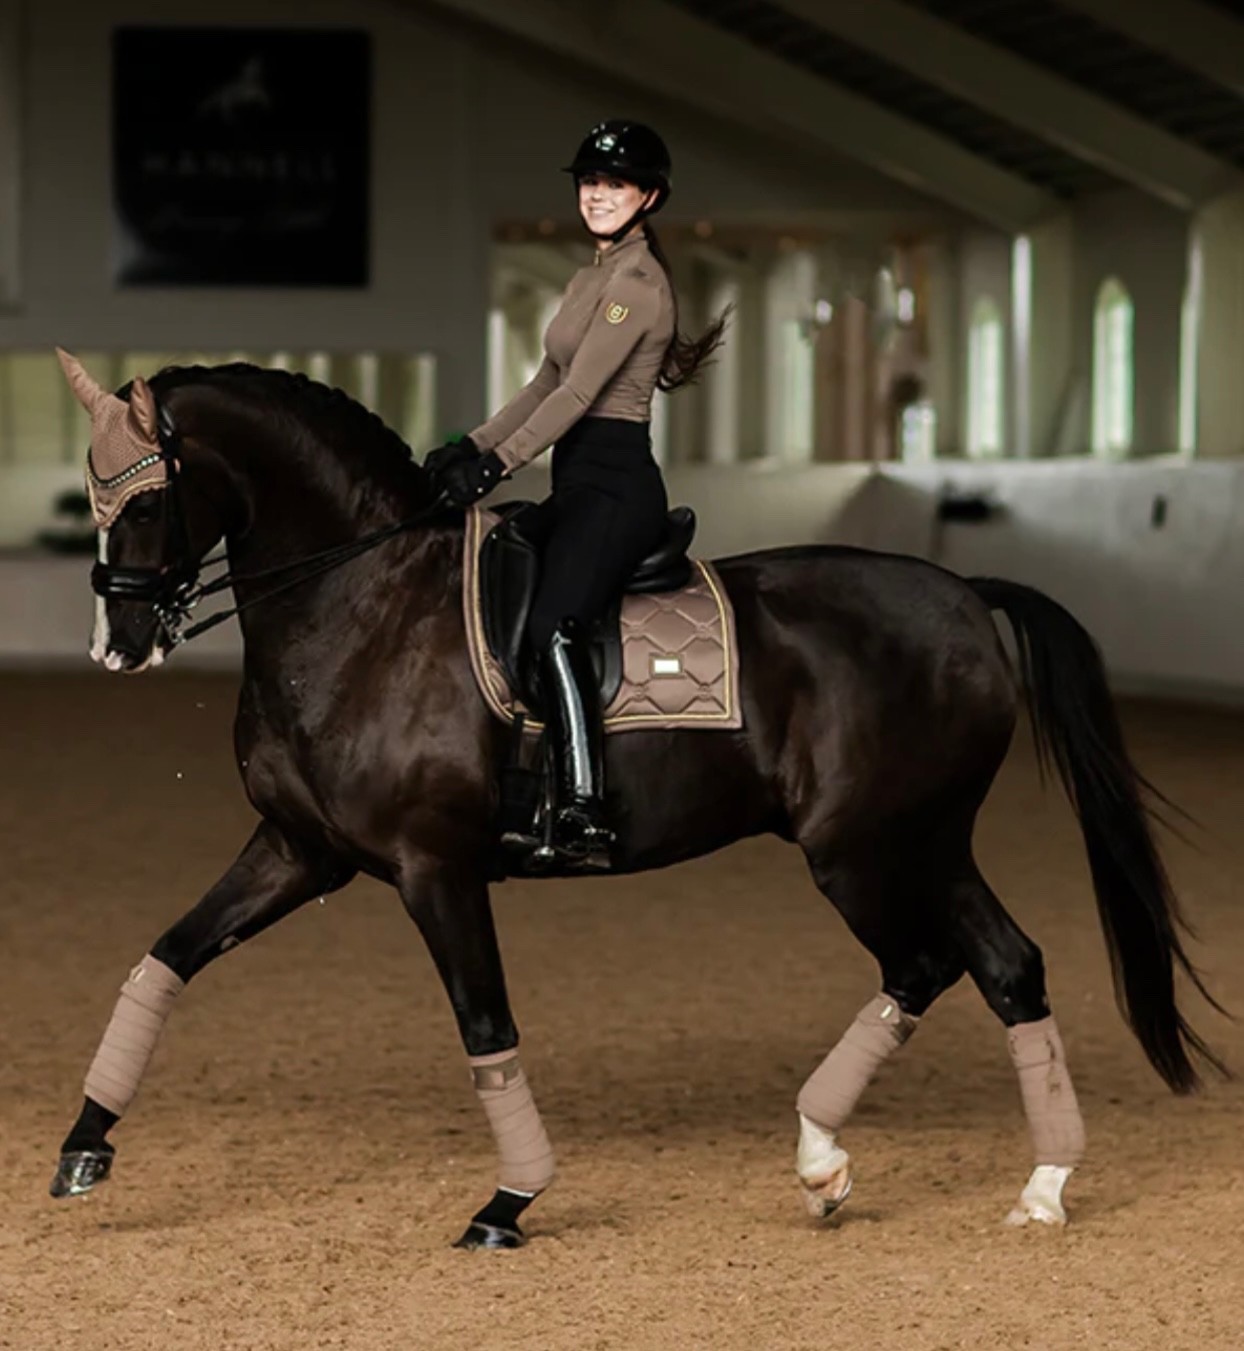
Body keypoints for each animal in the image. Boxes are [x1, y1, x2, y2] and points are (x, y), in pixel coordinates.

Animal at [49, 358, 1221, 1248]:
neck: (364, 603)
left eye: (144, 498)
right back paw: (1006, 1186)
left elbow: (486, 1025)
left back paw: (860, 1164)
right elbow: (164, 958)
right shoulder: (298, 848)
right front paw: (82, 1149)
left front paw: (509, 1201)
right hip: (927, 843)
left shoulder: (435, 867)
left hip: (866, 849)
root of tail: (966, 595)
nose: (119, 643)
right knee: (1002, 965)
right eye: (94, 496)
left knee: (930, 963)